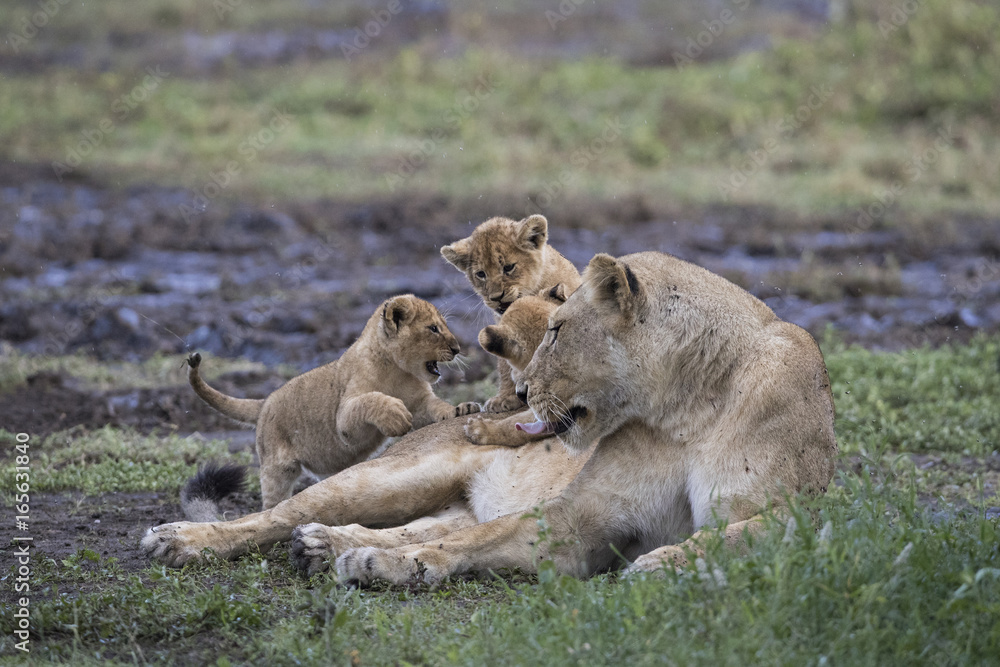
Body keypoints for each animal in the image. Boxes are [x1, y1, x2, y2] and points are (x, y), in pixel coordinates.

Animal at [182, 294, 480, 514]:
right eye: (433, 328)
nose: (457, 349)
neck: (399, 371)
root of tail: (265, 402)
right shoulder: (344, 422)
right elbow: (368, 401)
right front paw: (395, 416)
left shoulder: (421, 403)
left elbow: (438, 409)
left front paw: (463, 409)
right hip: (277, 467)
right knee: (272, 500)